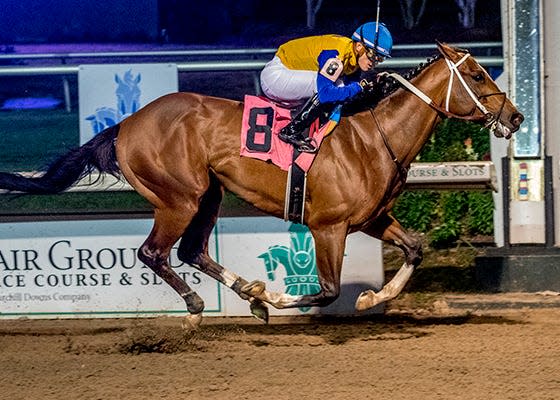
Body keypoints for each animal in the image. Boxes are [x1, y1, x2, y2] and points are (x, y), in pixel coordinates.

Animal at [0, 43, 524, 328]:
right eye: (476, 74)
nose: (517, 116)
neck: (375, 136)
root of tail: (127, 123)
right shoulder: (328, 226)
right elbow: (327, 289)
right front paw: (277, 297)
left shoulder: (371, 218)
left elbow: (415, 247)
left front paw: (373, 297)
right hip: (178, 197)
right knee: (154, 253)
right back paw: (200, 307)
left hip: (208, 194)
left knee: (191, 251)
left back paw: (246, 292)